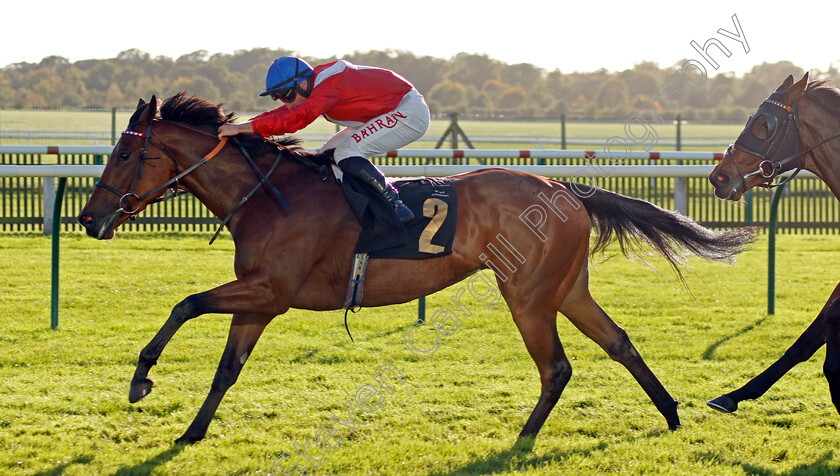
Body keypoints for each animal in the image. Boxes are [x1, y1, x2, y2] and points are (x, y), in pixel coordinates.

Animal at [80, 94, 756, 446]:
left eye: (124, 154)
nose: (89, 218)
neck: (271, 196)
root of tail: (565, 187)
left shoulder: (270, 291)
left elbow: (186, 303)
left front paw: (141, 380)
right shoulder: (260, 299)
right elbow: (227, 367)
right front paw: (192, 432)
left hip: (527, 293)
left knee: (557, 367)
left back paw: (524, 437)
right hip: (566, 289)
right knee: (618, 341)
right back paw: (670, 413)